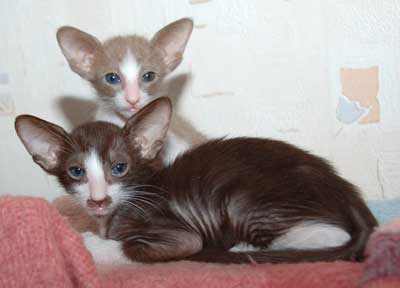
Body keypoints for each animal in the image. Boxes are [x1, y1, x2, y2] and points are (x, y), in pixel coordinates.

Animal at [14, 98, 378, 264]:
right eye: (76, 172)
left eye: (119, 168)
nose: (98, 199)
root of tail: (349, 195)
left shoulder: (178, 234)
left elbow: (133, 247)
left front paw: (91, 244)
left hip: (242, 202)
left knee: (330, 234)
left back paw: (245, 247)